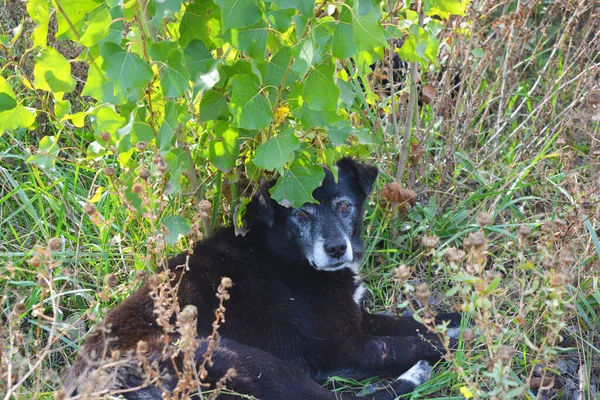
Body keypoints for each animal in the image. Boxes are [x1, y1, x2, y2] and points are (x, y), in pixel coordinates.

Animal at [64, 158, 460, 398]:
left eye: (344, 206)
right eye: (302, 214)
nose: (336, 249)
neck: (285, 252)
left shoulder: (358, 319)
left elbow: (422, 321)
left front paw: (459, 317)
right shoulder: (344, 346)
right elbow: (415, 342)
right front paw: (460, 340)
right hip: (240, 359)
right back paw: (415, 375)